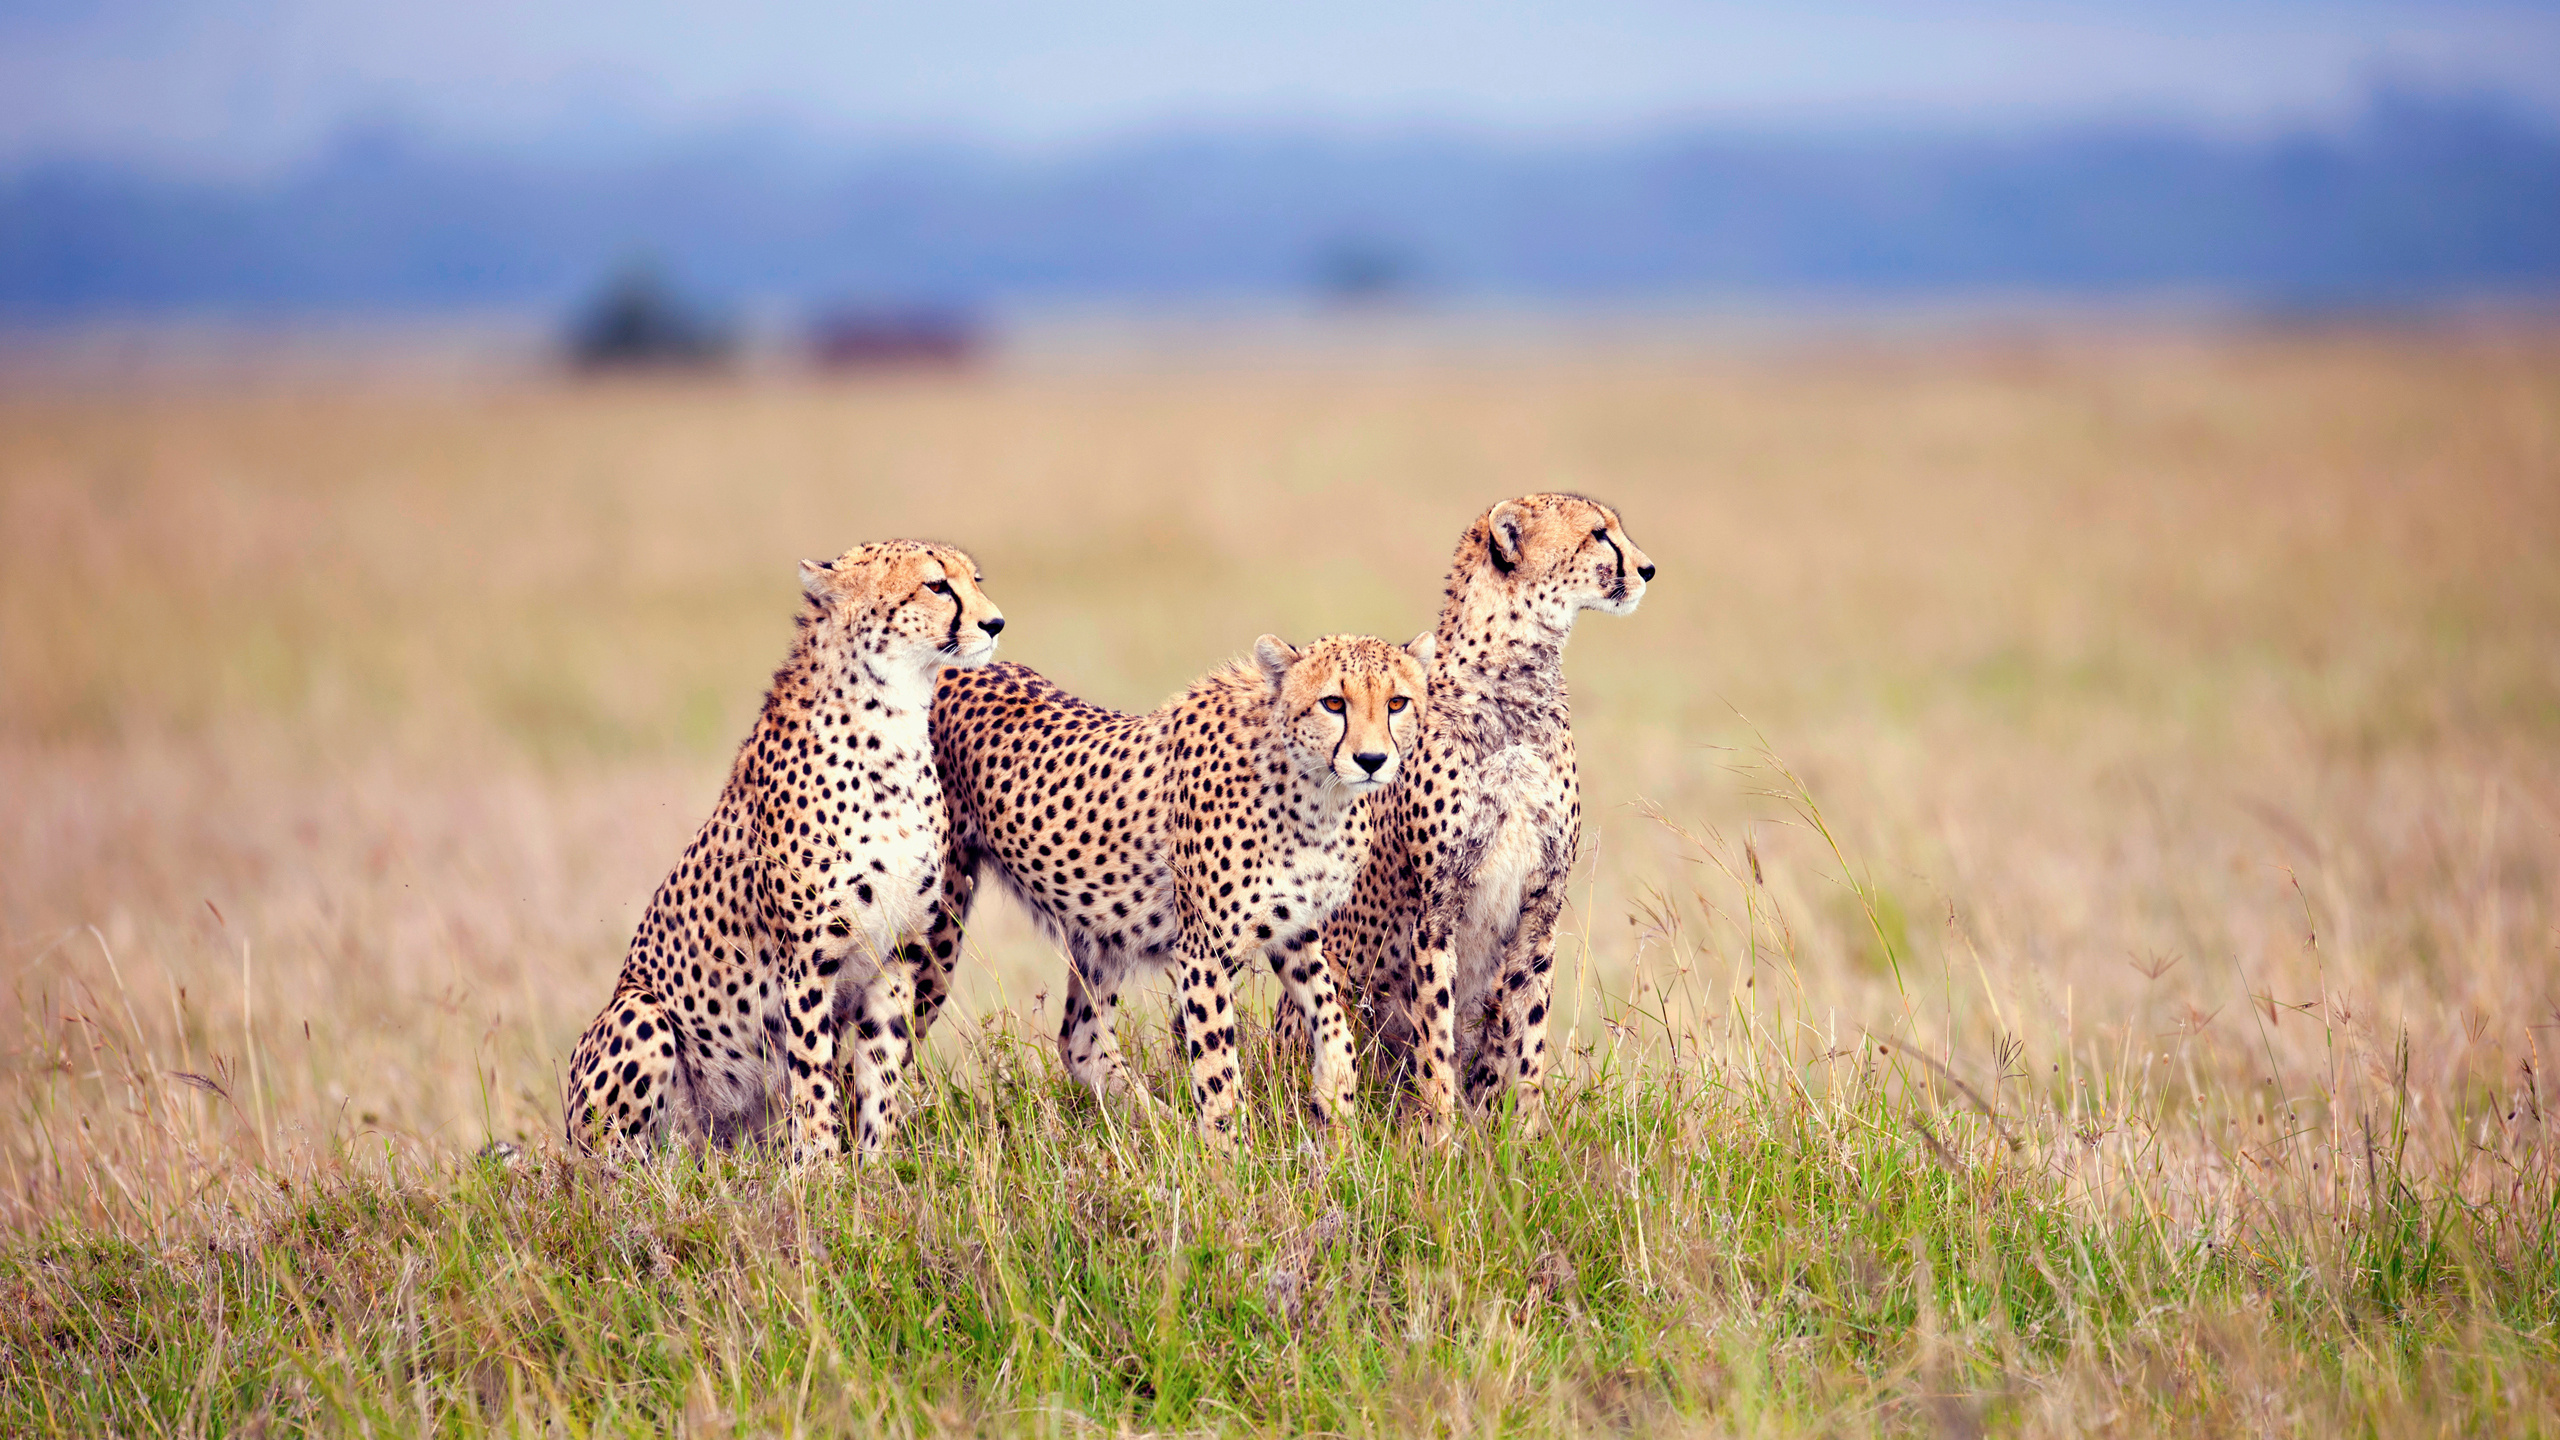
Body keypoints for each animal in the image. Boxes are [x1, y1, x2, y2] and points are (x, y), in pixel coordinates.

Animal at [562, 539, 1005, 1162]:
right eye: (936, 585)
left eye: (975, 580)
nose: (995, 623)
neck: (893, 727)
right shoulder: (808, 962)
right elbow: (815, 1076)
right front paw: (821, 1172)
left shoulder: (897, 956)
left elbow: (880, 1071)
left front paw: (877, 1166)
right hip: (638, 1015)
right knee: (614, 1165)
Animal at [901, 631, 1433, 1146]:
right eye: (1333, 703)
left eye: (1397, 703)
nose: (1372, 760)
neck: (1316, 792)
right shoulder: (1205, 951)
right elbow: (1219, 1070)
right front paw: (1230, 1160)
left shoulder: (1294, 930)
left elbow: (1332, 1018)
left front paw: (1336, 1107)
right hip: (938, 922)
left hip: (1100, 934)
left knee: (1080, 1042)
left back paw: (1164, 1128)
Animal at [1317, 493, 1654, 1138]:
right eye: (1599, 534)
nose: (1649, 569)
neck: (1517, 680)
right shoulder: (1435, 909)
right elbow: (1436, 1035)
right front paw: (1441, 1140)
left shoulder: (1542, 904)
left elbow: (1528, 1030)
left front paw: (1524, 1138)